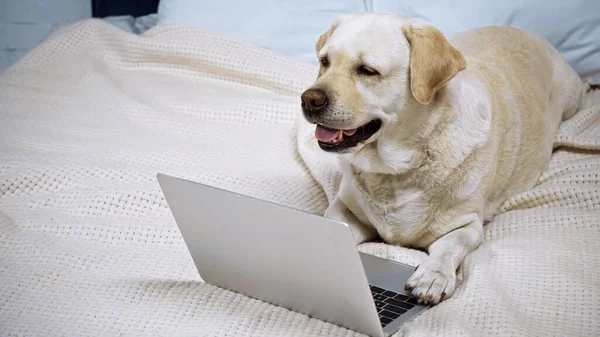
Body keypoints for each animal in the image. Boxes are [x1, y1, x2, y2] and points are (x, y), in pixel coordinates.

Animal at [298, 13, 584, 304]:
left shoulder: (468, 225)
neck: (394, 170)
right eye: (324, 62)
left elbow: (450, 246)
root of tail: (531, 35)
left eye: (367, 71)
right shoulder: (342, 209)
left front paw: (433, 276)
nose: (309, 99)